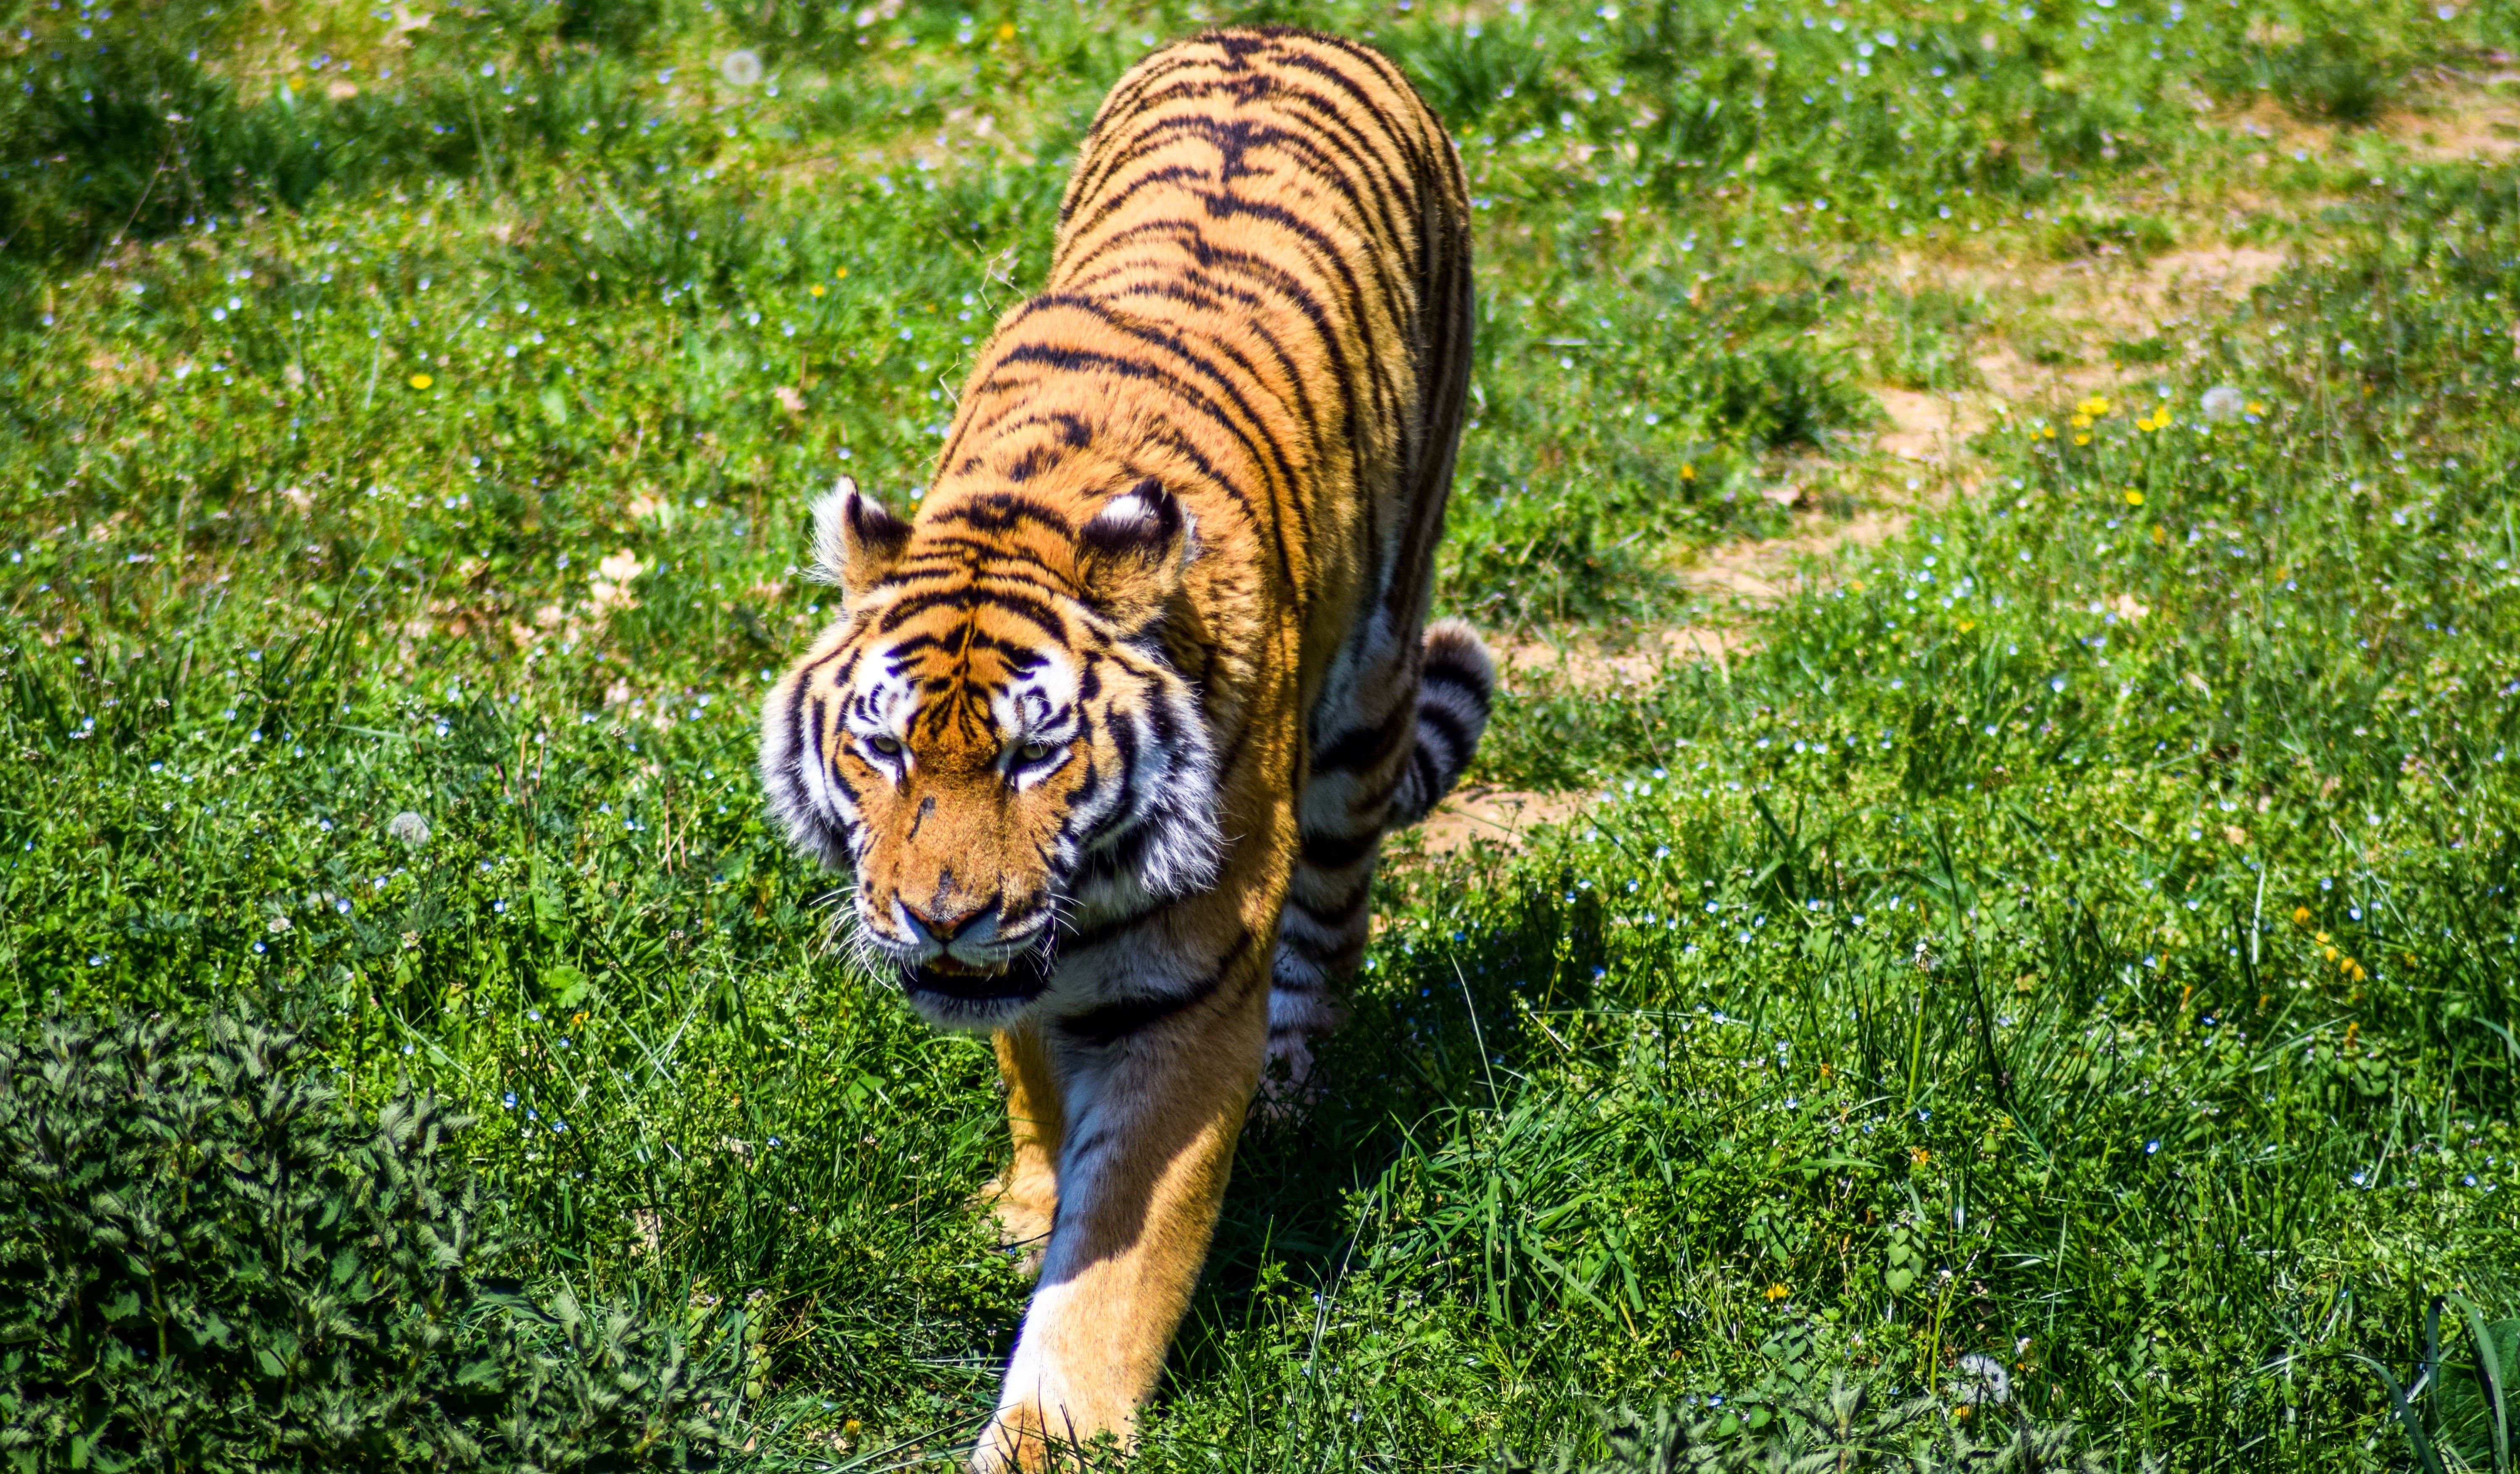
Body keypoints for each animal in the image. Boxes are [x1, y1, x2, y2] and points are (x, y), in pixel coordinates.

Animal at [757, 27, 1488, 1468]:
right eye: (884, 750)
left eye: (1033, 758)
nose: (938, 916)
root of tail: (1283, 28)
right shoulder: (1024, 975)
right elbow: (1029, 1073)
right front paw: (1023, 1200)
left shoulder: (1185, 998)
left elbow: (1102, 1285)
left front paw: (1048, 1429)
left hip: (1372, 682)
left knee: (1331, 916)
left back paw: (1291, 1091)